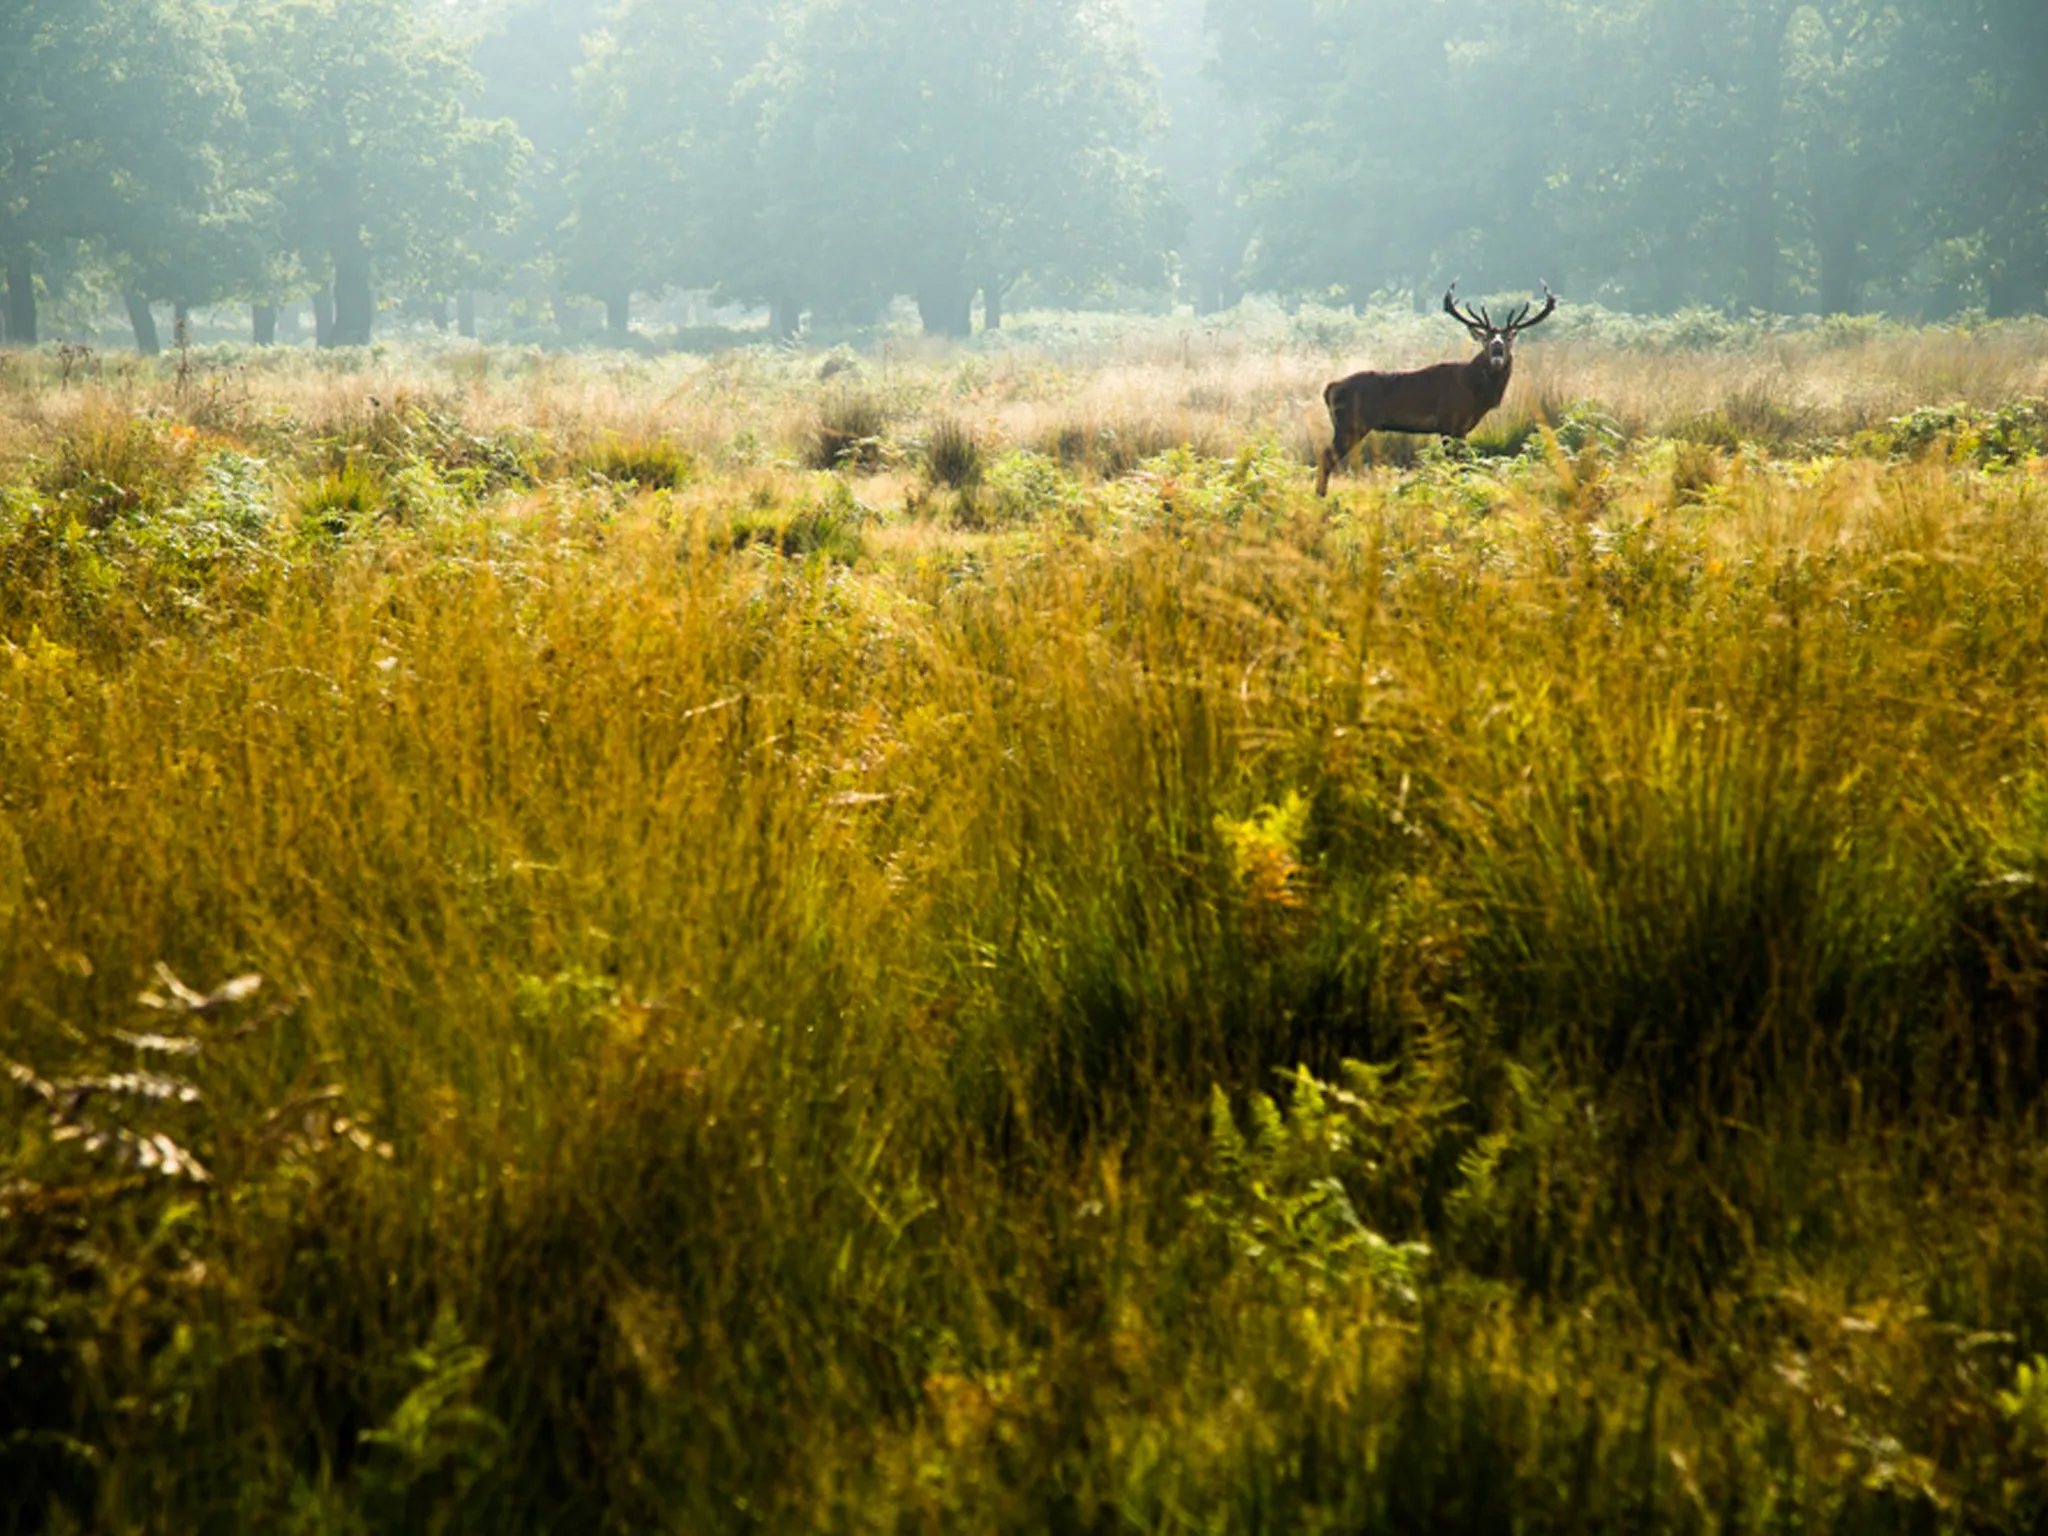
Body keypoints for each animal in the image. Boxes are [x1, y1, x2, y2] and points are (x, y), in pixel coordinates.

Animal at [1316, 283, 1557, 495]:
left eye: (1507, 338)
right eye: (1487, 338)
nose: (1497, 349)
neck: (1475, 393)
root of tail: (1329, 388)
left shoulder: (1460, 428)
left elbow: (1461, 464)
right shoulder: (1449, 422)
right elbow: (1457, 464)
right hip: (1351, 422)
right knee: (1327, 454)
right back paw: (1321, 495)